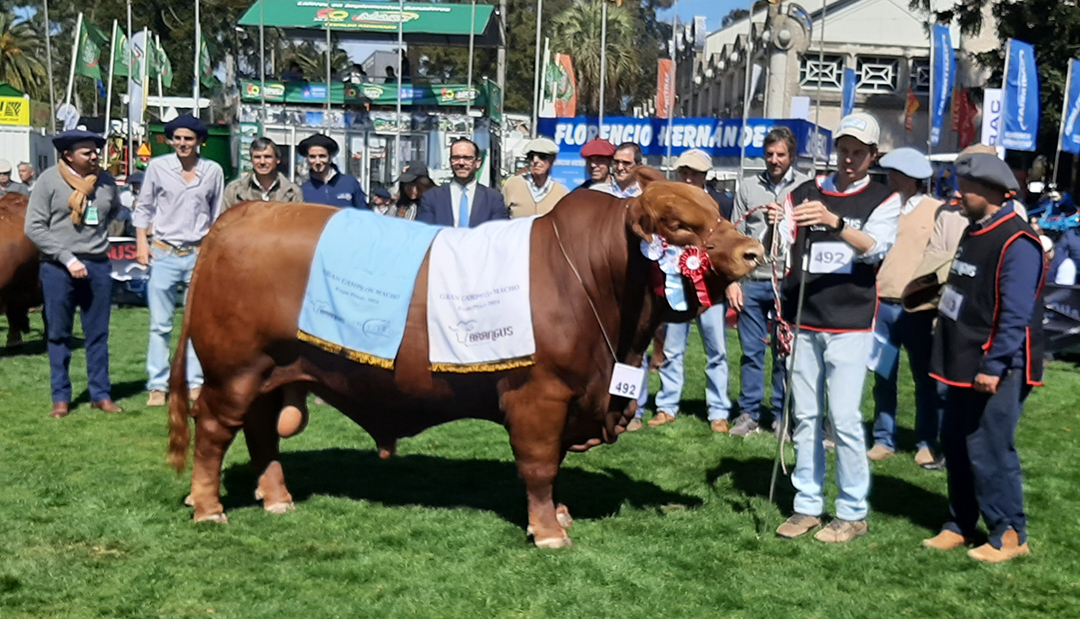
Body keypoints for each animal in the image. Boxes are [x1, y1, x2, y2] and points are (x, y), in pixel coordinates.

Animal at [166, 168, 760, 544]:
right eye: (678, 224)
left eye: (716, 208)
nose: (753, 252)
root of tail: (239, 217)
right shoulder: (540, 395)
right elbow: (540, 465)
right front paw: (548, 532)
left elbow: (555, 465)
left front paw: (560, 515)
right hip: (234, 370)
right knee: (213, 429)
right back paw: (209, 509)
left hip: (271, 371)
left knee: (261, 432)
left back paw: (277, 498)